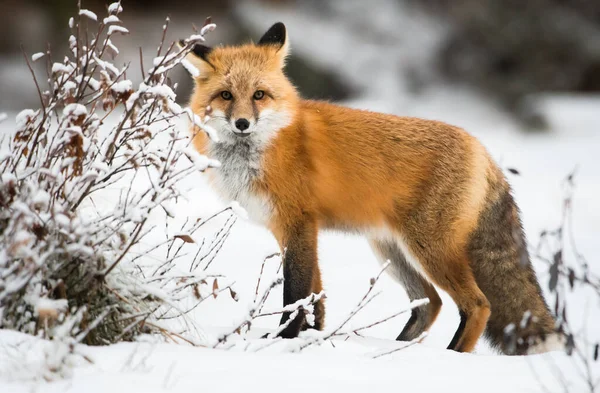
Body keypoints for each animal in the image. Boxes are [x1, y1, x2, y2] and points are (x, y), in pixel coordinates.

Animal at [183, 20, 564, 352]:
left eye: (259, 94)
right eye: (226, 95)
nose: (242, 123)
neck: (265, 148)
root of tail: (482, 149)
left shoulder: (298, 224)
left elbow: (296, 293)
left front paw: (283, 340)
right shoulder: (291, 229)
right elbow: (316, 296)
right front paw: (312, 337)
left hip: (430, 248)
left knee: (478, 305)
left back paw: (451, 356)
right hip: (391, 250)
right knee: (430, 303)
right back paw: (398, 349)